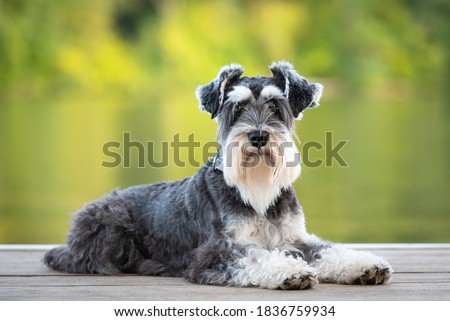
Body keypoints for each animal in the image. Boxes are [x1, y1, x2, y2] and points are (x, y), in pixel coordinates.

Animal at [44, 61, 392, 288]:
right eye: (236, 109)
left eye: (276, 106)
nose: (258, 136)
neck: (257, 195)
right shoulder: (215, 251)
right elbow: (254, 257)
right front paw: (287, 271)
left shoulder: (295, 238)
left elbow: (328, 249)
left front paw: (364, 264)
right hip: (110, 224)